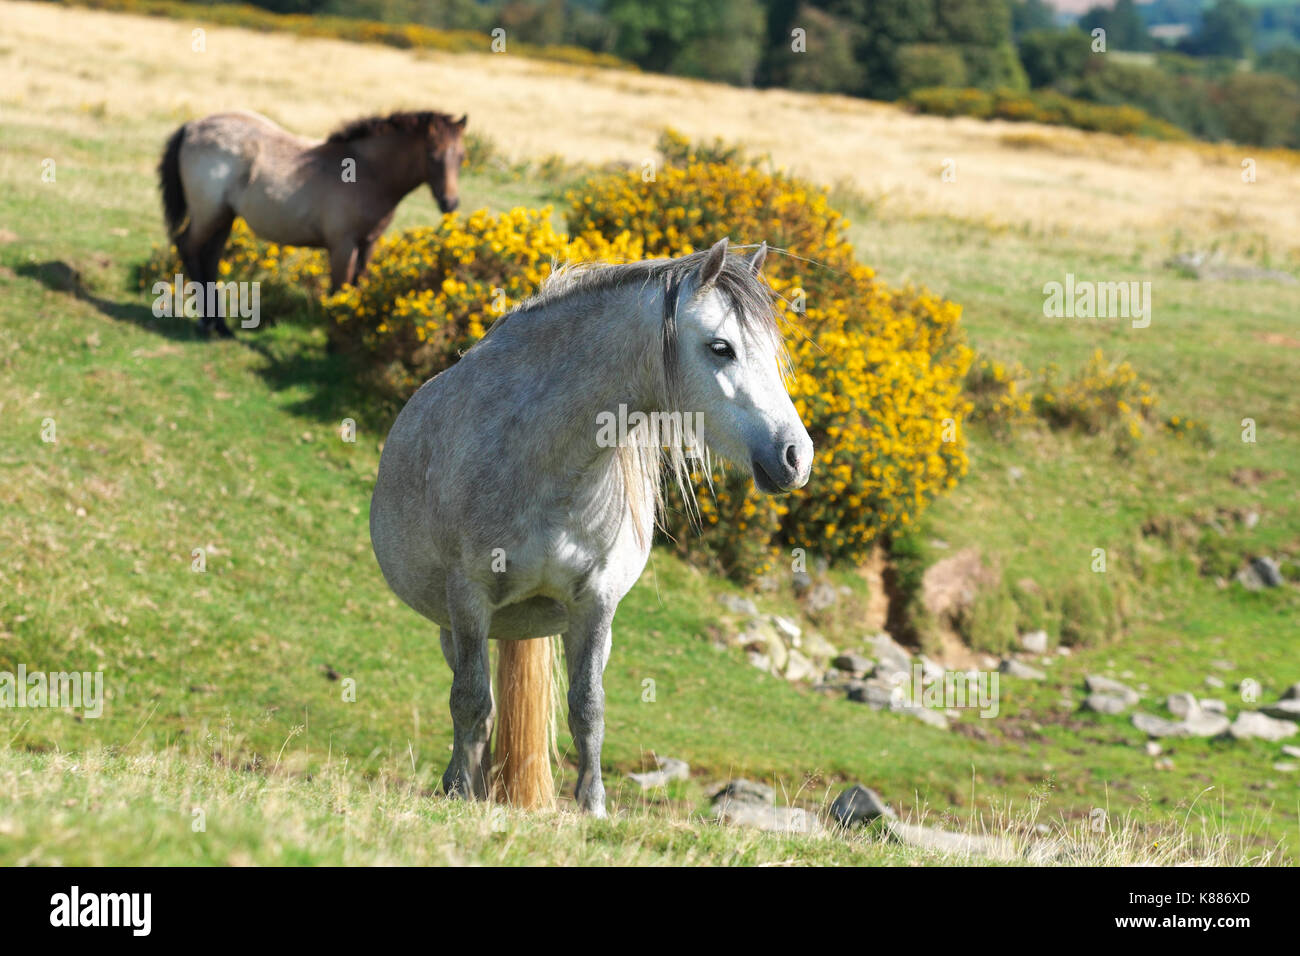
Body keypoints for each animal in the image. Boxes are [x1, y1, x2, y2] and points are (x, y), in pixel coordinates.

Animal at [157, 109, 470, 335]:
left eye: (461, 157)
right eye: (433, 156)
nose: (450, 203)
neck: (367, 173)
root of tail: (192, 126)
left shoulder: (368, 243)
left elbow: (357, 288)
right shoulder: (343, 246)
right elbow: (339, 291)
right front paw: (334, 345)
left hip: (224, 217)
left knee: (210, 257)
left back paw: (220, 325)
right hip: (208, 214)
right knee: (188, 246)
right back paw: (205, 323)